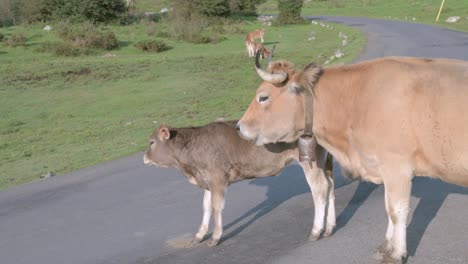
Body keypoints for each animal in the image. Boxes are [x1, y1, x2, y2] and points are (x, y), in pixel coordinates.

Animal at [144, 120, 334, 246]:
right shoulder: (208, 180)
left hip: (310, 162)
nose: (144, 157)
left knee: (319, 189)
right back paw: (329, 227)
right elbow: (206, 207)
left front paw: (215, 237)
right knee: (329, 187)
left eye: (152, 142)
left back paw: (316, 231)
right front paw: (199, 235)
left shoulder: (217, 179)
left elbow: (216, 207)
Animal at [238, 53, 468, 262]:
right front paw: (387, 246)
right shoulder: (384, 168)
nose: (239, 127)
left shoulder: (397, 166)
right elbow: (388, 208)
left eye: (263, 97)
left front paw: (397, 253)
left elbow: (397, 210)